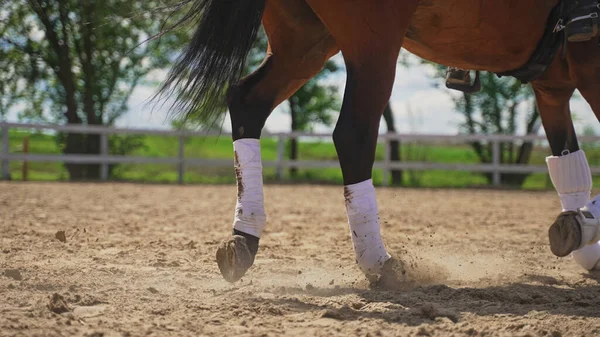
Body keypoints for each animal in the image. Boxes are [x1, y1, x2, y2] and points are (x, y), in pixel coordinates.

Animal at [158, 0, 600, 284]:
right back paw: (379, 262)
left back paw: (243, 239)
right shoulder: (588, 68)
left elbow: (569, 162)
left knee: (248, 103)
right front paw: (584, 228)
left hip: (304, 43)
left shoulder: (553, 87)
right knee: (352, 133)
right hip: (373, 43)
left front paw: (584, 240)